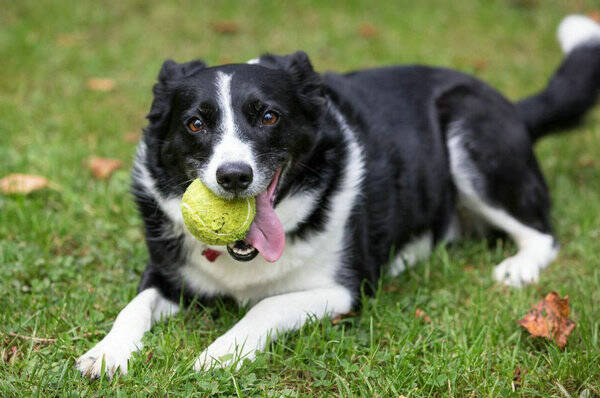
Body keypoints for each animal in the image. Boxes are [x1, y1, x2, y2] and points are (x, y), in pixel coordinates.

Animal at [76, 14, 600, 376]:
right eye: (195, 123)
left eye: (268, 116)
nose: (234, 177)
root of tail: (510, 104)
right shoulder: (166, 274)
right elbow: (133, 306)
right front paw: (106, 353)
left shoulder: (342, 289)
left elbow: (266, 306)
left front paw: (218, 354)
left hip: (470, 132)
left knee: (542, 233)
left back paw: (519, 266)